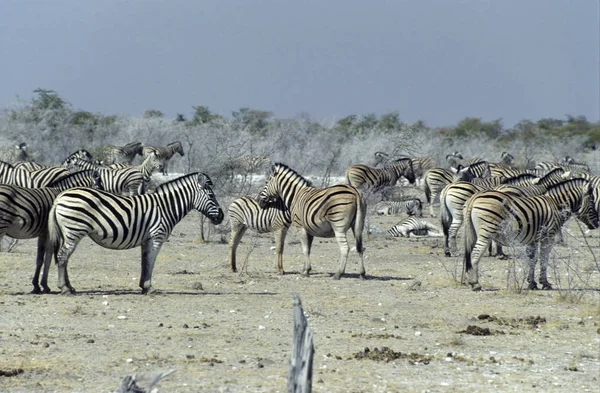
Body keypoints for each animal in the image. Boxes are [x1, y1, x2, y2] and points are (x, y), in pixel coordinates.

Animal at [43, 172, 224, 294]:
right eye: (211, 195)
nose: (221, 217)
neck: (165, 207)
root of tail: (60, 196)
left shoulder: (146, 239)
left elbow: (144, 261)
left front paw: (143, 286)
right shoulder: (156, 237)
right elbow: (151, 262)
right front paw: (149, 288)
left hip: (68, 232)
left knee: (64, 257)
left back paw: (70, 286)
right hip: (74, 230)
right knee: (62, 256)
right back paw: (65, 288)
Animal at [462, 179, 596, 290]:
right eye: (592, 202)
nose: (597, 224)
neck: (556, 205)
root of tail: (474, 197)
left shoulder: (533, 239)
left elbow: (532, 259)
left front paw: (532, 283)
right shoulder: (548, 236)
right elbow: (544, 258)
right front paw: (545, 283)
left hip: (472, 232)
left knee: (468, 255)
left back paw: (469, 281)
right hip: (487, 230)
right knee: (475, 255)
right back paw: (475, 284)